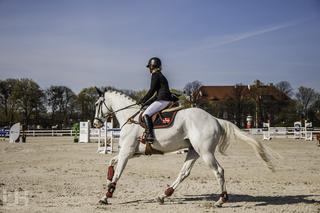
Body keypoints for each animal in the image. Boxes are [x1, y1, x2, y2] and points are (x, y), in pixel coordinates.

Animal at [92, 89, 272, 206]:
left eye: (97, 103)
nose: (95, 123)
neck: (131, 118)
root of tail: (215, 119)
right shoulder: (131, 152)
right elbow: (111, 162)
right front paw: (108, 183)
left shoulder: (126, 153)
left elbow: (118, 174)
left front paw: (106, 196)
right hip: (194, 151)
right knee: (184, 173)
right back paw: (163, 195)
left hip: (205, 153)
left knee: (218, 171)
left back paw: (221, 200)